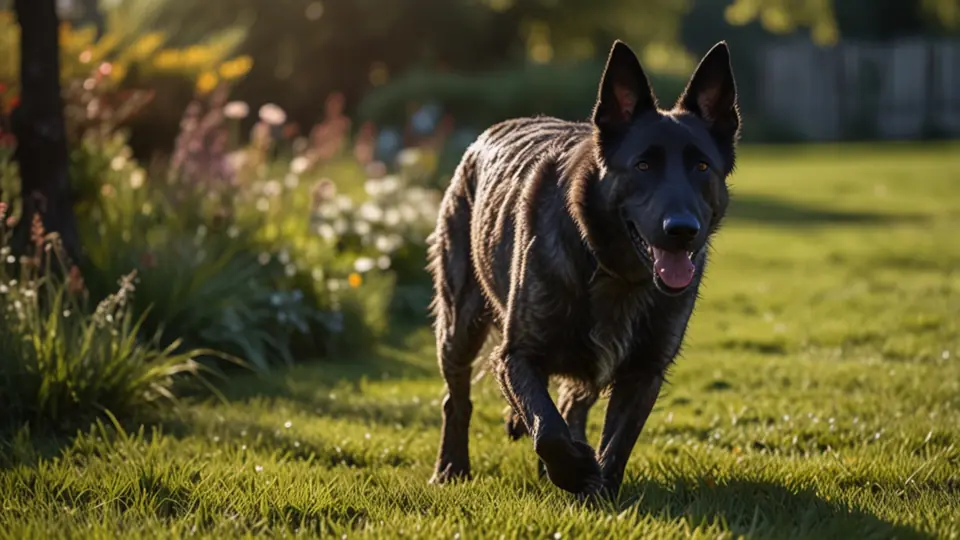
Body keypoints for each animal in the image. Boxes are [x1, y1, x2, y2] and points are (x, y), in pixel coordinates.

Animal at [428, 40, 744, 500]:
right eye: (643, 166)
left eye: (702, 167)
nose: (683, 231)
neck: (615, 273)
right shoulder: (516, 356)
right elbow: (547, 431)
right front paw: (574, 470)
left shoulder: (643, 372)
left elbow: (615, 442)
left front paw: (598, 491)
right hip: (460, 322)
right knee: (458, 399)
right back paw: (451, 467)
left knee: (571, 403)